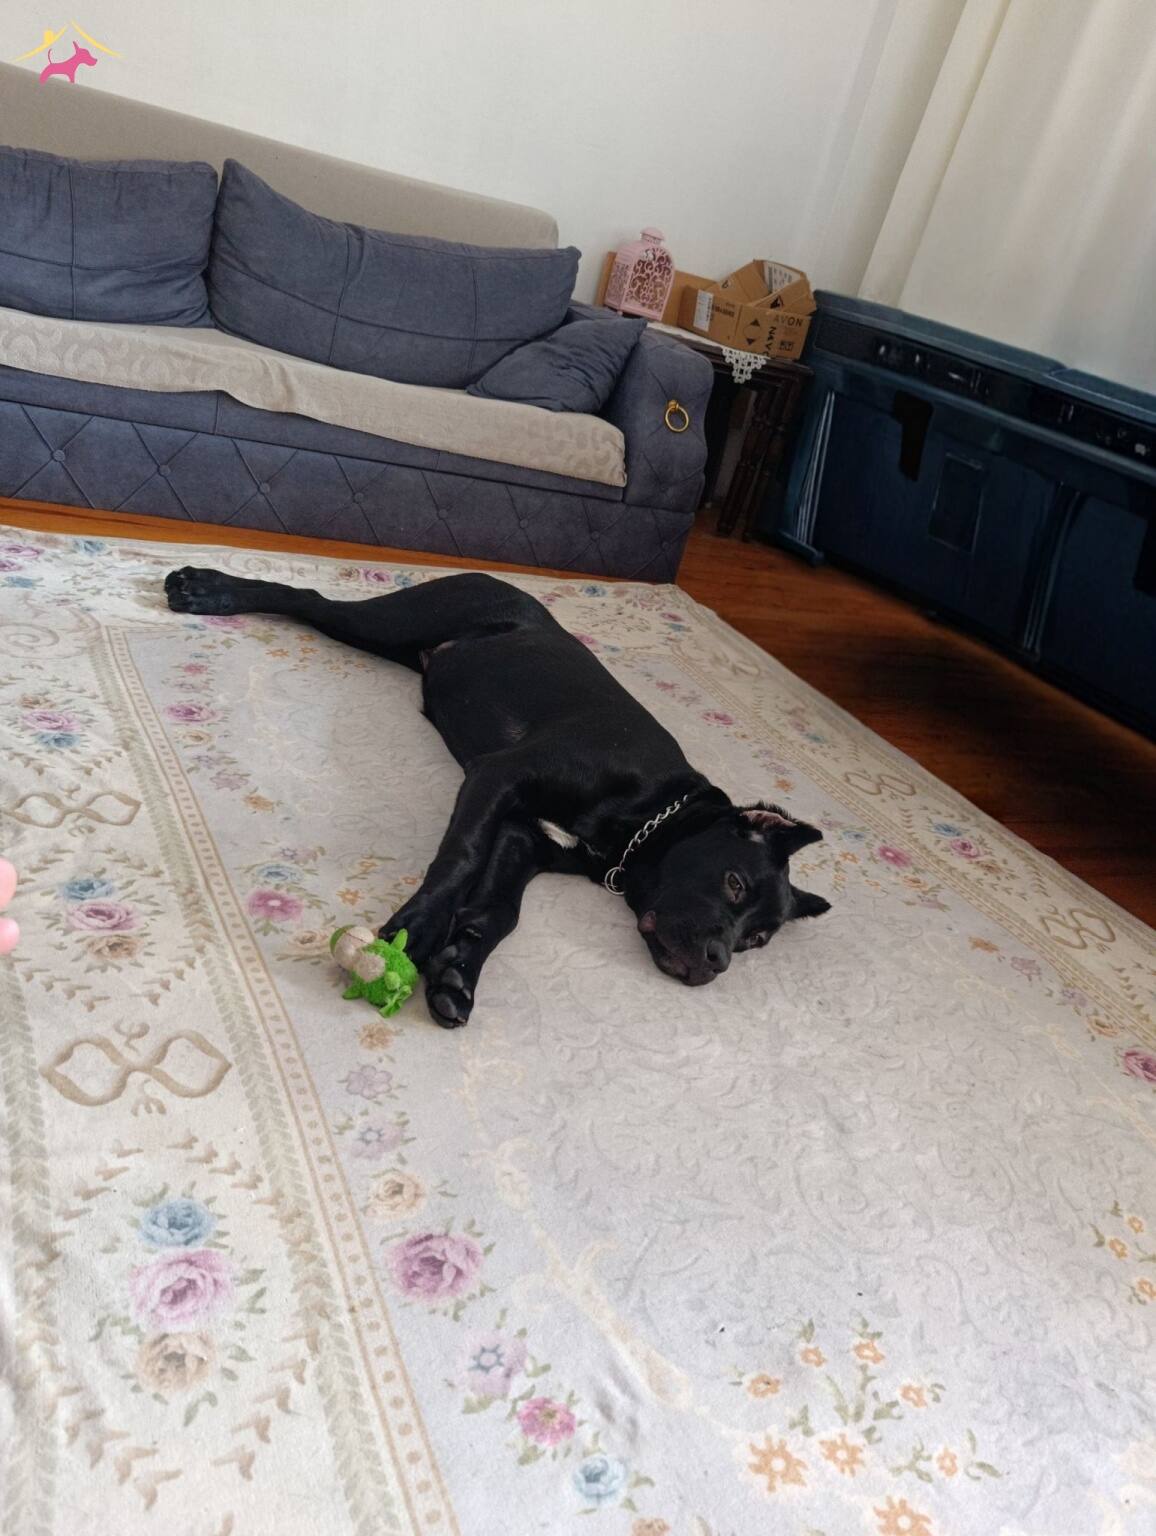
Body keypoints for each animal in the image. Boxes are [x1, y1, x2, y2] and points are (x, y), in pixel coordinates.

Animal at [165, 567, 830, 1026]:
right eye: (734, 883)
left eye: (757, 941)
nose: (718, 960)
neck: (649, 813)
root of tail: (490, 574)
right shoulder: (498, 776)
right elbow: (459, 859)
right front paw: (416, 932)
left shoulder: (522, 837)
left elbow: (499, 911)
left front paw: (458, 970)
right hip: (398, 619)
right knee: (306, 598)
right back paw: (204, 590)